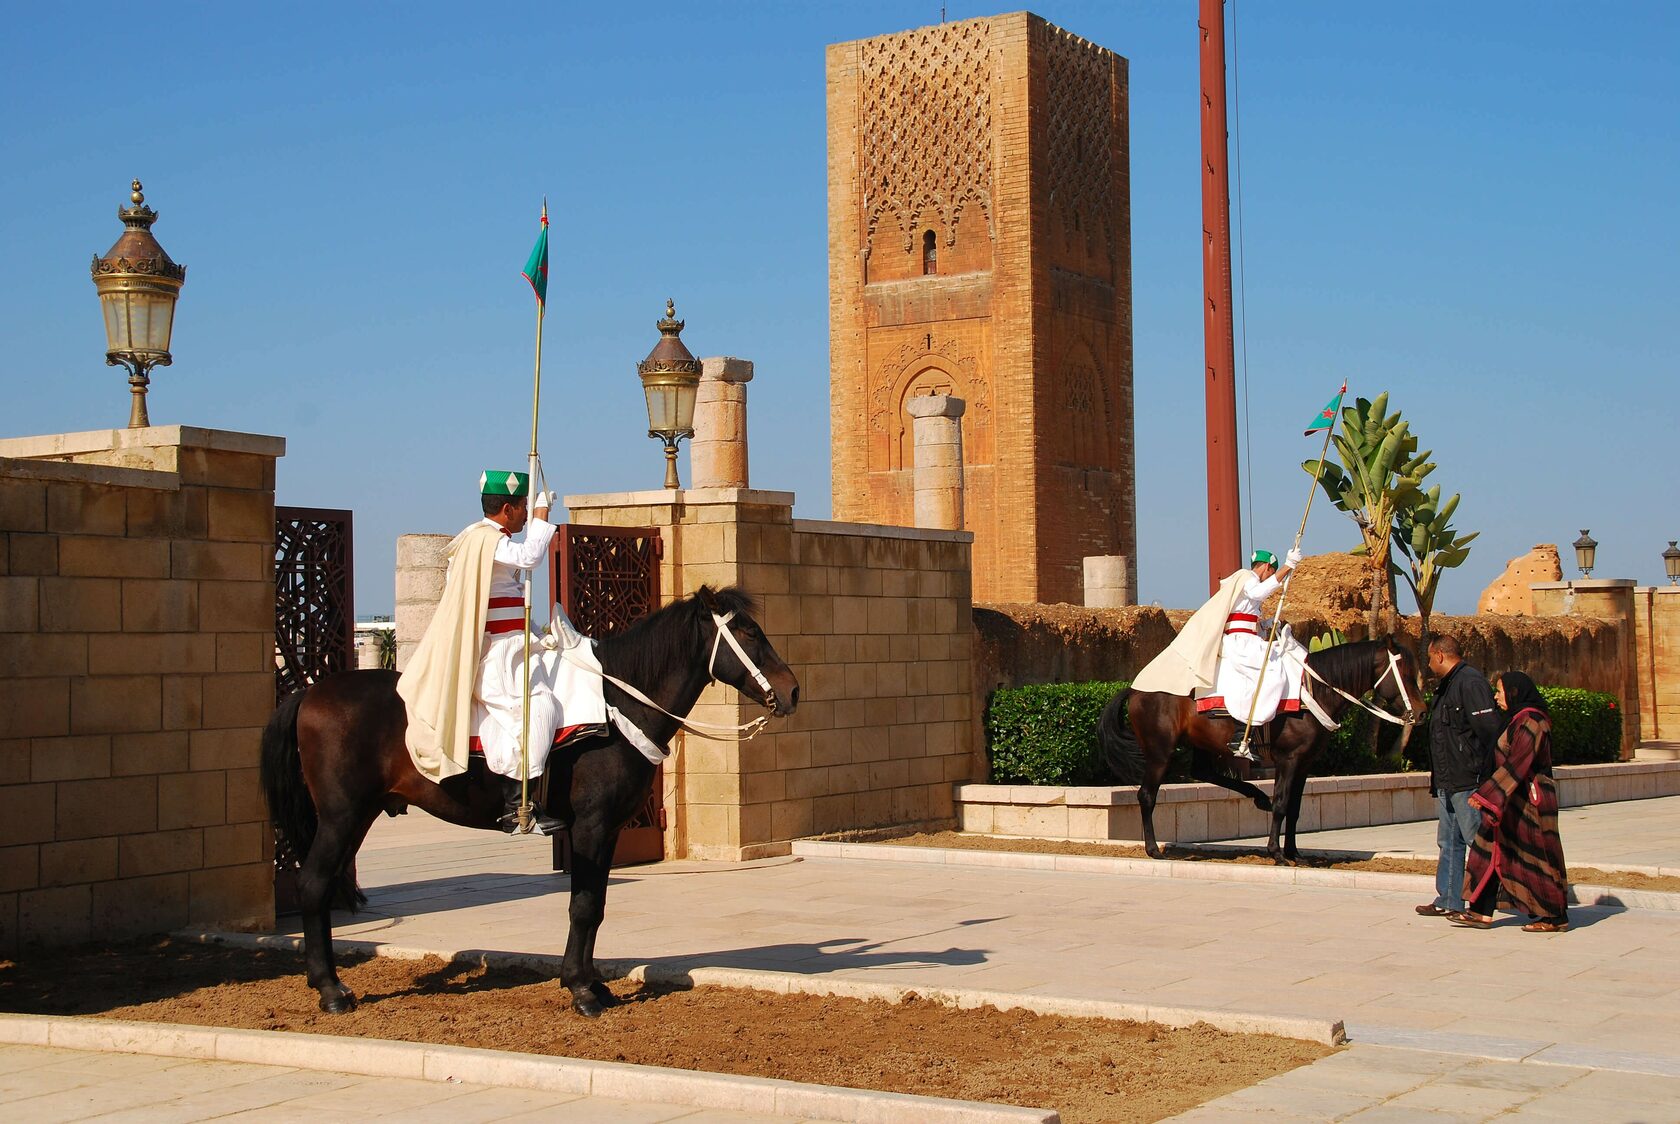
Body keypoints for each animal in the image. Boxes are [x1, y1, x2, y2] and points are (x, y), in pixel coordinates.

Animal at [258, 588, 796, 1014]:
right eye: (748, 633)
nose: (791, 691)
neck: (616, 706)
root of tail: (308, 695)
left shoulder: (607, 831)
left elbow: (595, 903)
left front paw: (591, 983)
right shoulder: (591, 827)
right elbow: (583, 905)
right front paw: (580, 990)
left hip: (356, 817)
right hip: (341, 817)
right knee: (313, 885)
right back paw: (331, 991)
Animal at [1095, 635, 1424, 866]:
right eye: (1405, 673)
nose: (1421, 713)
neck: (1312, 692)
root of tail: (1136, 689)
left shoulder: (1305, 764)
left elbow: (1294, 808)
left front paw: (1294, 853)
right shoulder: (1288, 760)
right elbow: (1282, 803)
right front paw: (1276, 852)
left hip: (1202, 744)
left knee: (1202, 772)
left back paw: (1256, 797)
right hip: (1160, 753)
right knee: (1146, 795)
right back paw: (1153, 849)